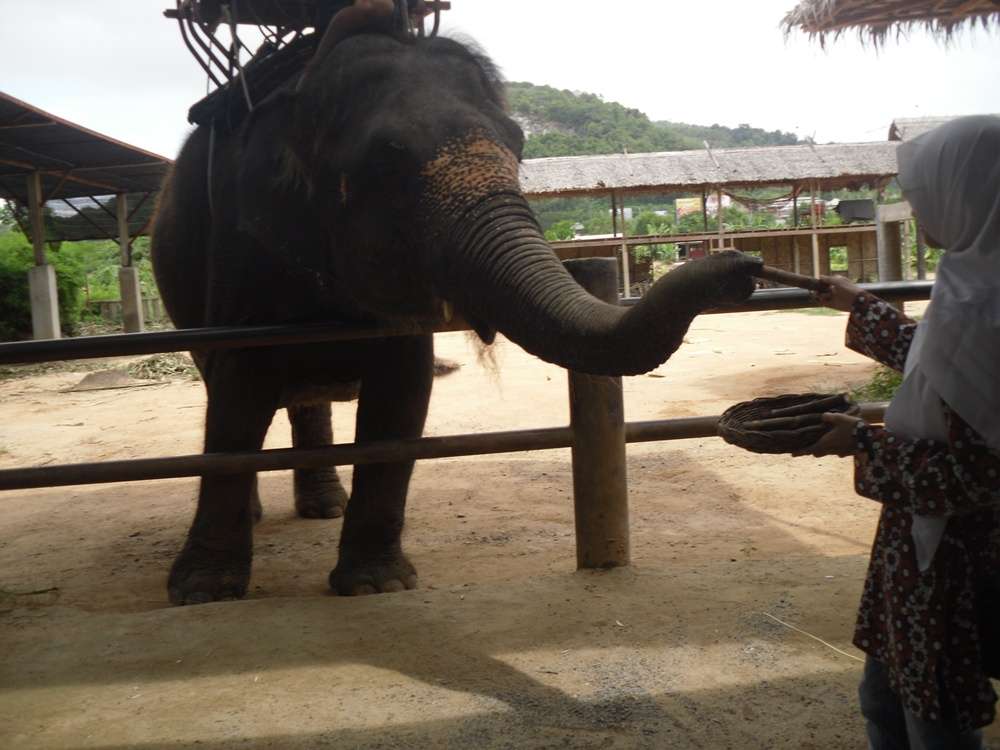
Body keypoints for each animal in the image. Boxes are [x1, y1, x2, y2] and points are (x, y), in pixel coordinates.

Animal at [151, 1, 761, 605]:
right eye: (386, 161)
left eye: (519, 145)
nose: (744, 269)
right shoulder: (240, 250)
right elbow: (237, 398)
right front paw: (204, 593)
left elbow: (402, 398)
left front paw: (375, 585)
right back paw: (267, 514)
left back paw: (325, 508)